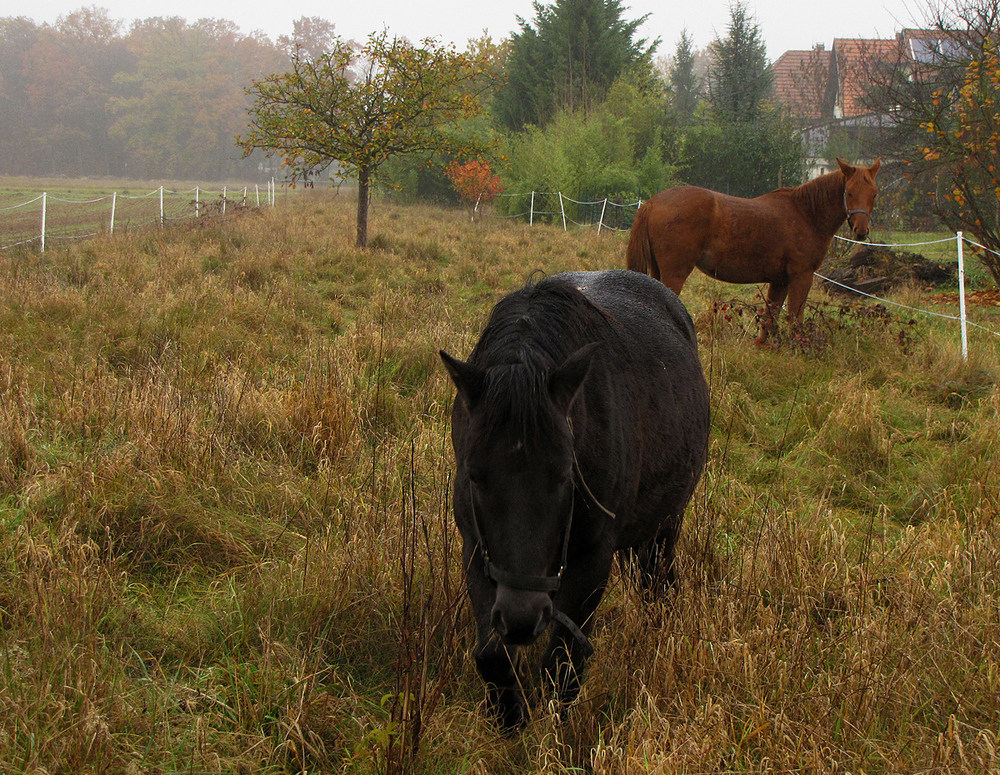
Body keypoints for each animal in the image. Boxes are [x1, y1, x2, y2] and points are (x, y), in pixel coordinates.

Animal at [440, 270, 712, 732]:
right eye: (474, 475)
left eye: (566, 474)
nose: (521, 618)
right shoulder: (477, 551)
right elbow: (492, 655)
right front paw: (509, 719)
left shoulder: (590, 562)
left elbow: (562, 664)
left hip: (665, 528)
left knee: (658, 584)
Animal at [628, 157, 880, 340]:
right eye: (849, 192)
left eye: (874, 193)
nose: (861, 230)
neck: (806, 214)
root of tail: (652, 203)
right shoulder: (801, 277)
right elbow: (794, 317)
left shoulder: (780, 281)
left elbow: (771, 317)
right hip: (675, 273)